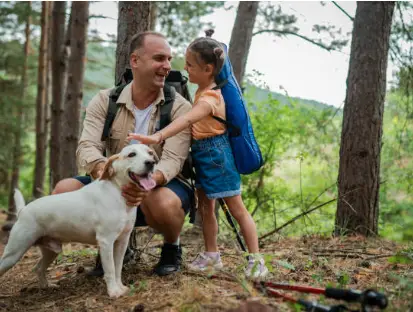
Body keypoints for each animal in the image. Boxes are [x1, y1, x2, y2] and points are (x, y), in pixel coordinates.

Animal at [0, 144, 157, 298]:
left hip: (51, 251)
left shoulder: (122, 241)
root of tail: (23, 210)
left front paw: (121, 287)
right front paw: (113, 292)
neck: (117, 192)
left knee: (38, 267)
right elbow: (111, 270)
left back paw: (46, 286)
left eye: (150, 153)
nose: (151, 163)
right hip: (14, 252)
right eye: (131, 154)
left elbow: (117, 268)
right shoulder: (106, 241)